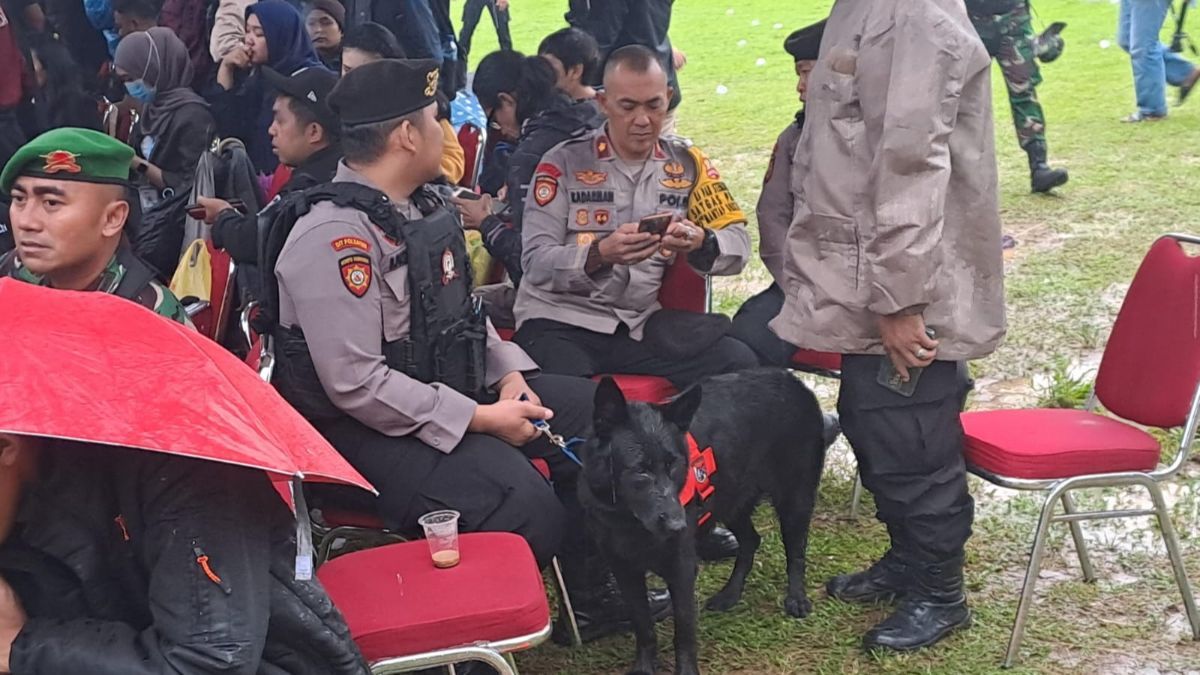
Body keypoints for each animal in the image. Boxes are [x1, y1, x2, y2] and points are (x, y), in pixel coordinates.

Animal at [578, 367, 825, 672]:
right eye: (641, 471)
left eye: (673, 465)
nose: (678, 526)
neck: (628, 520)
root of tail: (793, 380)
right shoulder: (625, 571)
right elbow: (643, 626)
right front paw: (645, 667)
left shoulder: (682, 570)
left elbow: (684, 633)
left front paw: (686, 670)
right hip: (731, 500)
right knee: (751, 541)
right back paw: (730, 594)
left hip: (794, 499)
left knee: (796, 552)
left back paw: (797, 597)